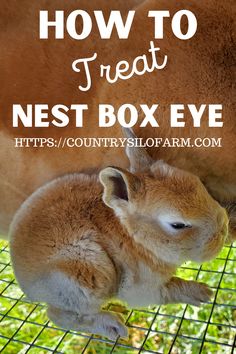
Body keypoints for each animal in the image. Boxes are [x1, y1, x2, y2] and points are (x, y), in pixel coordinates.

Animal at [10, 129, 228, 338]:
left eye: (199, 183)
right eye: (177, 225)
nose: (224, 230)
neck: (134, 237)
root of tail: (25, 284)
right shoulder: (141, 288)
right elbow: (169, 290)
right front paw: (202, 293)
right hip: (88, 274)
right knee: (59, 315)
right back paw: (112, 325)